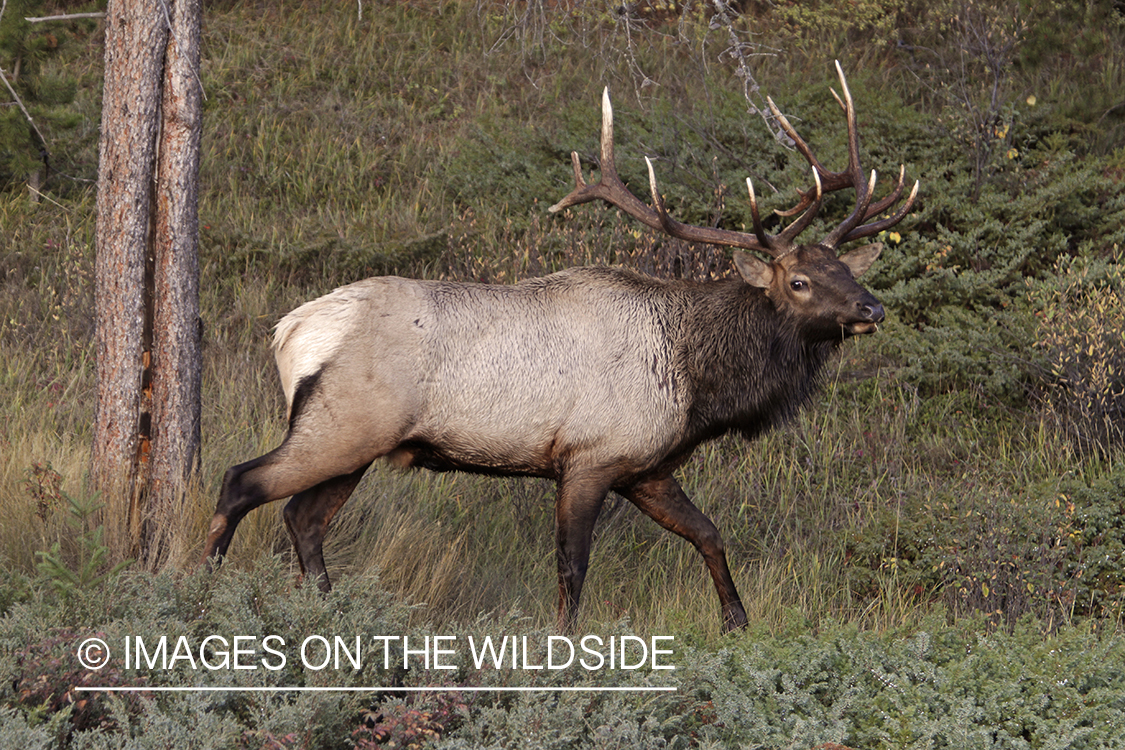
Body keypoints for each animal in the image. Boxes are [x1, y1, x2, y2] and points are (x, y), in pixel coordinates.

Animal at [202, 62, 917, 633]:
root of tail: (288, 333)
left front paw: (738, 623)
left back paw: (328, 612)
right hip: (342, 425)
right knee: (241, 482)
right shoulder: (587, 457)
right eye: (798, 281)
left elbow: (710, 534)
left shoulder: (645, 466)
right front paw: (565, 644)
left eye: (845, 269)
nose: (872, 309)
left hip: (356, 442)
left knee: (303, 517)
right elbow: (572, 566)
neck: (697, 385)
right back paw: (202, 593)